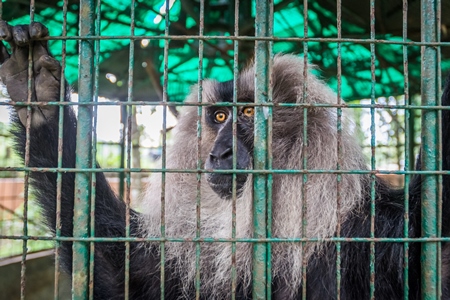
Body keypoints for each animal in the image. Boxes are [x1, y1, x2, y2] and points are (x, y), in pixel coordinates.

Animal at [0, 20, 450, 298]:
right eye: (218, 117)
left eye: (248, 113)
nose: (220, 152)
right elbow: (122, 275)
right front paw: (39, 95)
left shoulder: (375, 230)